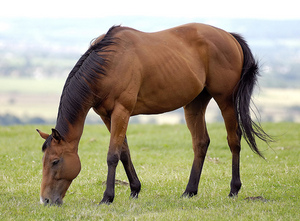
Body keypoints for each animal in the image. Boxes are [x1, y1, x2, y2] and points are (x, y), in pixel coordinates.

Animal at [36, 22, 270, 205]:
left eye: (55, 161)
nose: (45, 200)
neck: (109, 63)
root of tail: (229, 36)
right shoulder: (107, 115)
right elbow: (124, 152)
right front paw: (134, 189)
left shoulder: (121, 111)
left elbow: (113, 155)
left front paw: (107, 197)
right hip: (195, 103)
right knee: (201, 142)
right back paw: (189, 191)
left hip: (226, 100)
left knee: (234, 140)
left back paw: (233, 189)